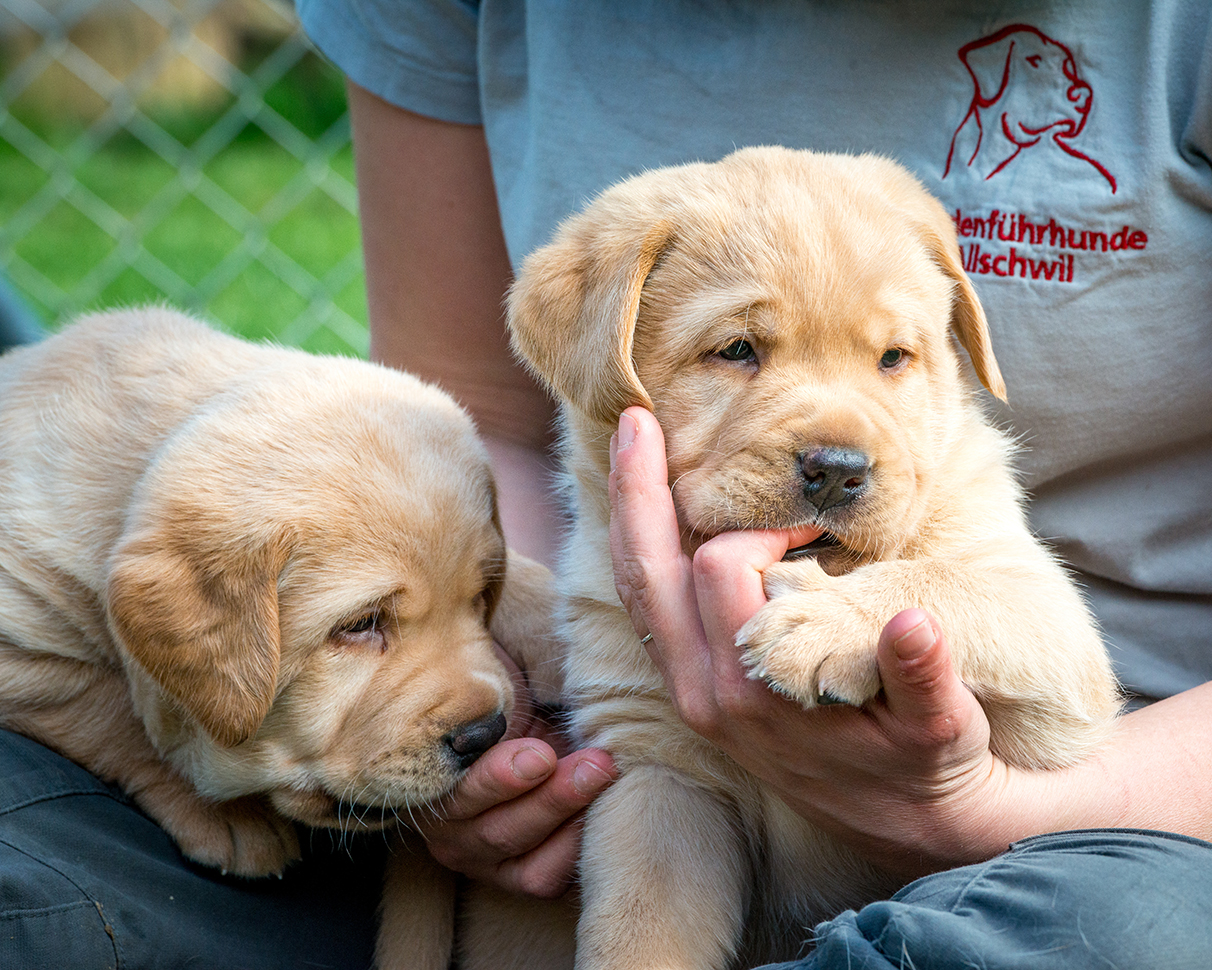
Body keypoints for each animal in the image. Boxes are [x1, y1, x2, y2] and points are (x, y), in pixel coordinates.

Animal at [0, 309, 555, 970]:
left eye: (478, 600)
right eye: (359, 626)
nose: (485, 732)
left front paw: (555, 618)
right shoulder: (20, 638)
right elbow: (111, 710)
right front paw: (228, 814)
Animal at [499, 146, 1115, 970]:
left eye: (893, 358)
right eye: (737, 350)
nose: (839, 469)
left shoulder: (1058, 665)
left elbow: (948, 582)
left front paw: (824, 620)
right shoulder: (656, 773)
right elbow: (638, 937)